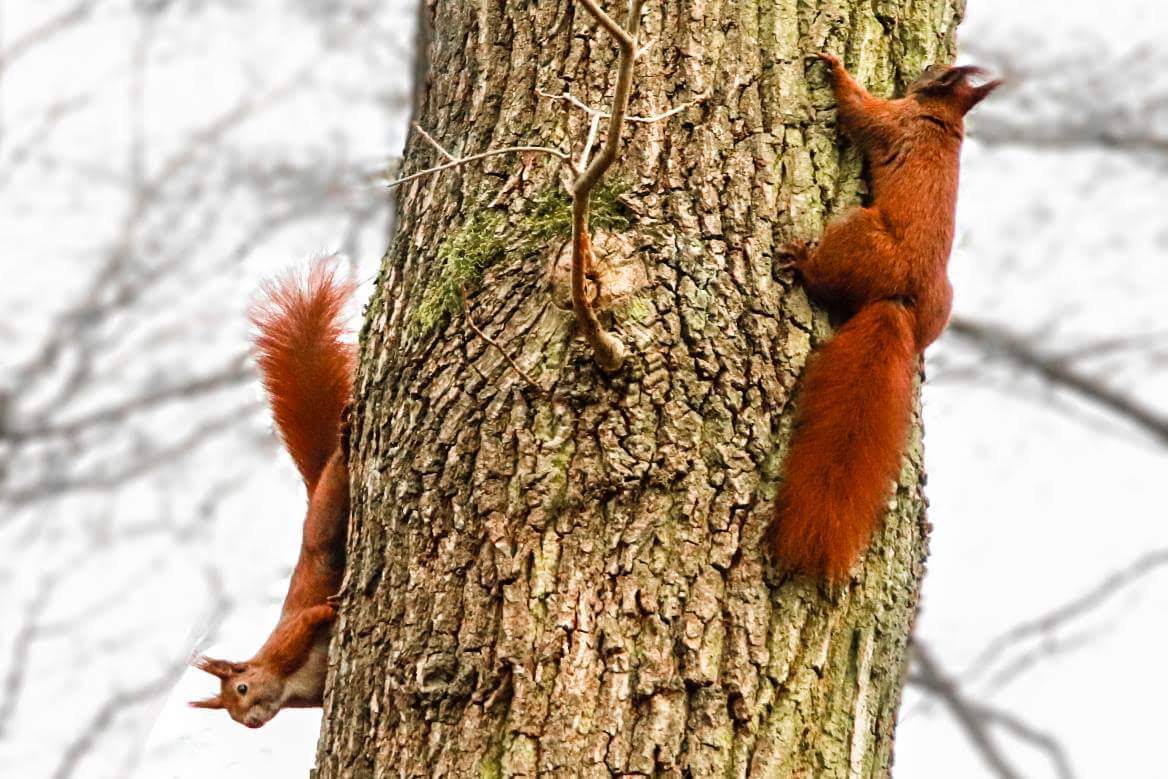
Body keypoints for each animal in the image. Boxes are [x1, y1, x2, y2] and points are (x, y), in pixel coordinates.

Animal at [190, 259, 355, 728]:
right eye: (229, 714)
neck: (287, 685)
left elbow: (313, 616)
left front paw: (333, 609)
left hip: (324, 523)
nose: (251, 723)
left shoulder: (289, 638)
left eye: (242, 688)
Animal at [768, 54, 1000, 583]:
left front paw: (834, 69)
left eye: (938, 71)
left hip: (856, 231)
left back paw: (802, 264)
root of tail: (901, 300)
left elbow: (859, 110)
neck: (944, 118)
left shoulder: (892, 122)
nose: (927, 62)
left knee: (825, 278)